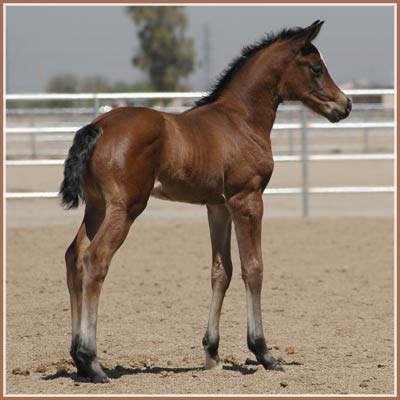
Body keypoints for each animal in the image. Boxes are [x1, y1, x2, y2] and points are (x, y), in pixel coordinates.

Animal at [61, 21, 352, 382]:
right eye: (316, 68)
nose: (345, 105)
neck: (240, 120)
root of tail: (98, 125)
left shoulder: (218, 207)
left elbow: (221, 270)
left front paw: (212, 353)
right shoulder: (247, 200)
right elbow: (253, 268)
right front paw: (264, 352)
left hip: (97, 208)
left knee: (74, 257)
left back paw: (77, 358)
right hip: (125, 208)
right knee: (95, 260)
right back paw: (92, 362)